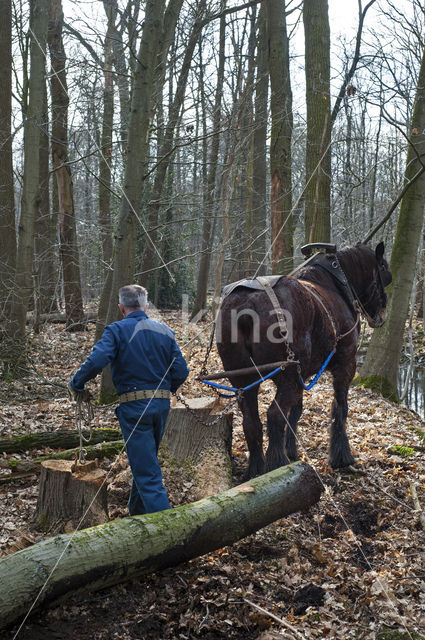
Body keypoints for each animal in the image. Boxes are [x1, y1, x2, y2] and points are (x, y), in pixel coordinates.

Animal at [217, 242, 392, 478]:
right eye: (385, 272)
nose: (382, 315)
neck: (339, 284)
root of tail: (247, 304)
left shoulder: (302, 374)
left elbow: (296, 411)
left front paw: (291, 449)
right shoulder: (346, 365)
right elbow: (340, 408)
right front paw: (341, 456)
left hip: (245, 379)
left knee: (251, 421)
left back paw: (257, 469)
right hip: (286, 375)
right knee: (275, 415)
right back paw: (277, 464)